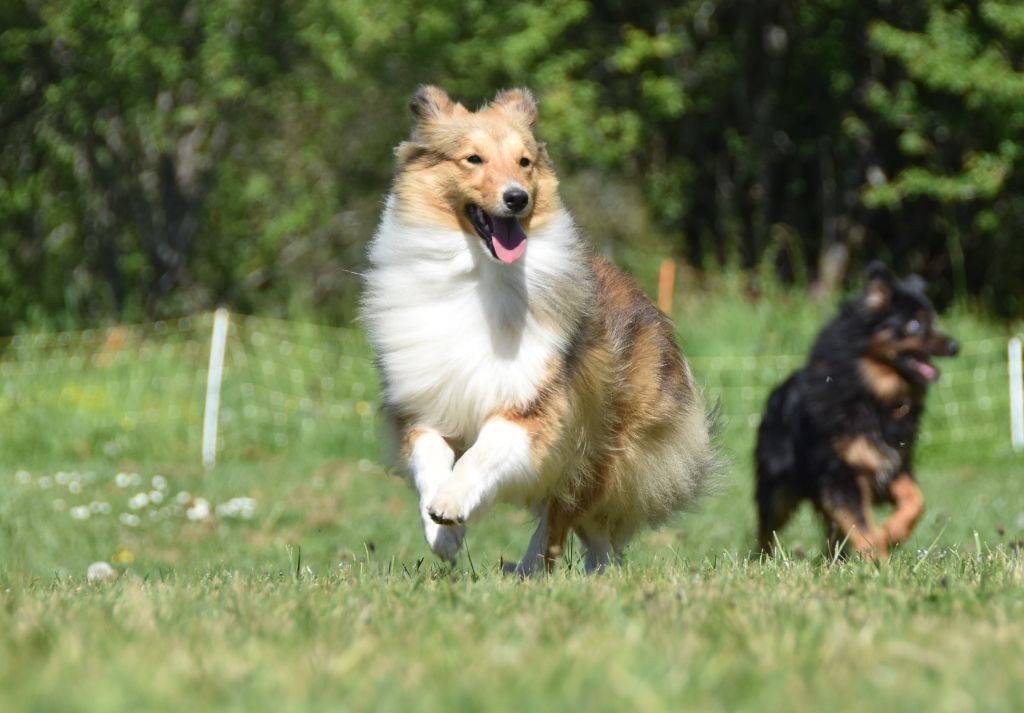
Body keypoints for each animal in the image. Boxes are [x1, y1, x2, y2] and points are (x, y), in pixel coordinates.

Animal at [364, 86, 716, 573]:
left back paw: (540, 572)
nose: (517, 198)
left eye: (525, 161)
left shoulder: (537, 408)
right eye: (473, 158)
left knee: (568, 518)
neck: (477, 276)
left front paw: (452, 503)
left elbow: (487, 449)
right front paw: (442, 533)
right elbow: (431, 455)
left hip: (600, 444)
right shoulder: (424, 402)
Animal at [753, 264, 958, 561]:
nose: (955, 346)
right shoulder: (842, 471)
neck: (875, 396)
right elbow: (861, 523)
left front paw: (890, 534)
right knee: (767, 529)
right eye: (914, 325)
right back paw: (764, 559)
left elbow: (915, 500)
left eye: (934, 321)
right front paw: (879, 558)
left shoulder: (889, 461)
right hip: (778, 486)